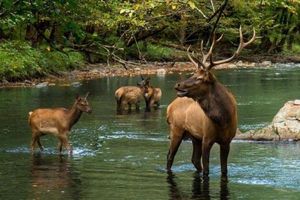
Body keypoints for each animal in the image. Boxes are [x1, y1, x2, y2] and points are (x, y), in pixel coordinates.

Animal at [166, 27, 255, 177]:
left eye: (199, 78)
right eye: (193, 74)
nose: (178, 85)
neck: (223, 119)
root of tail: (169, 107)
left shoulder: (227, 141)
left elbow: (224, 170)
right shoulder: (207, 138)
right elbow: (207, 170)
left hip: (194, 136)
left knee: (194, 159)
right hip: (176, 129)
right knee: (170, 156)